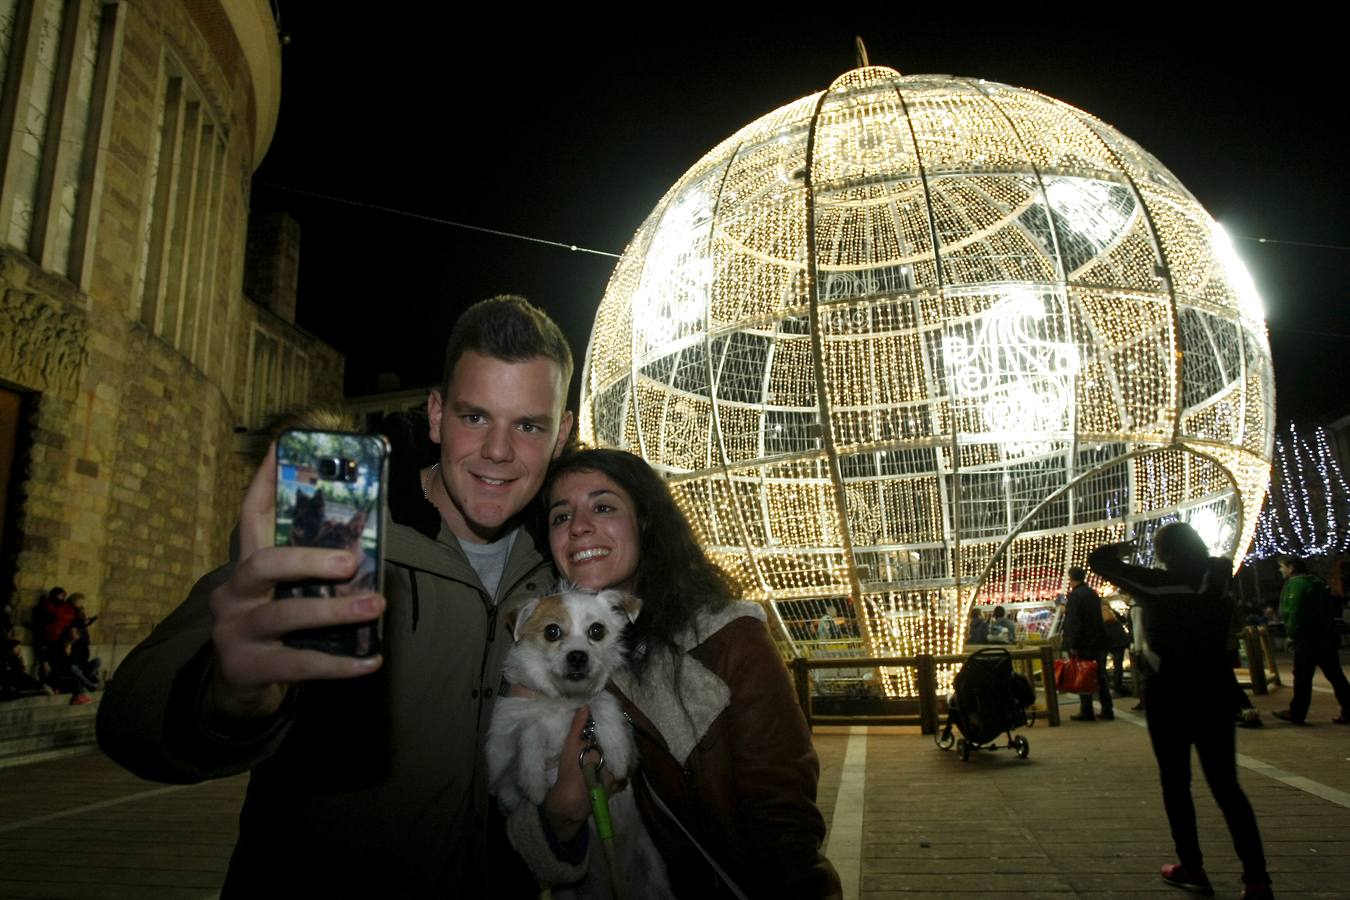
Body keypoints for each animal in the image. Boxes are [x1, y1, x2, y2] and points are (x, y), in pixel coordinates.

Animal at [488, 588, 672, 900]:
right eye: (551, 631)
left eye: (597, 631)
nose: (577, 656)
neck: (563, 701)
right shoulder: (502, 775)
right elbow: (530, 728)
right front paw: (534, 781)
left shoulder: (607, 719)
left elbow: (602, 701)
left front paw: (616, 753)